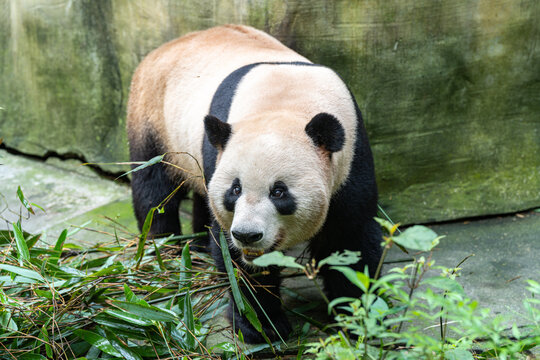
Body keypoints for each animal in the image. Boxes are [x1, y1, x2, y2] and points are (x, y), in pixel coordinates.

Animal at [126, 25, 382, 344]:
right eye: (235, 190)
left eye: (279, 191)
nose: (248, 235)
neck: (286, 104)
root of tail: (164, 47)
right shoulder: (221, 154)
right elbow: (235, 258)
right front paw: (262, 326)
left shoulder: (350, 158)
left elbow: (349, 239)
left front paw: (354, 318)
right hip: (153, 116)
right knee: (154, 190)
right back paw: (166, 249)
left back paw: (197, 245)